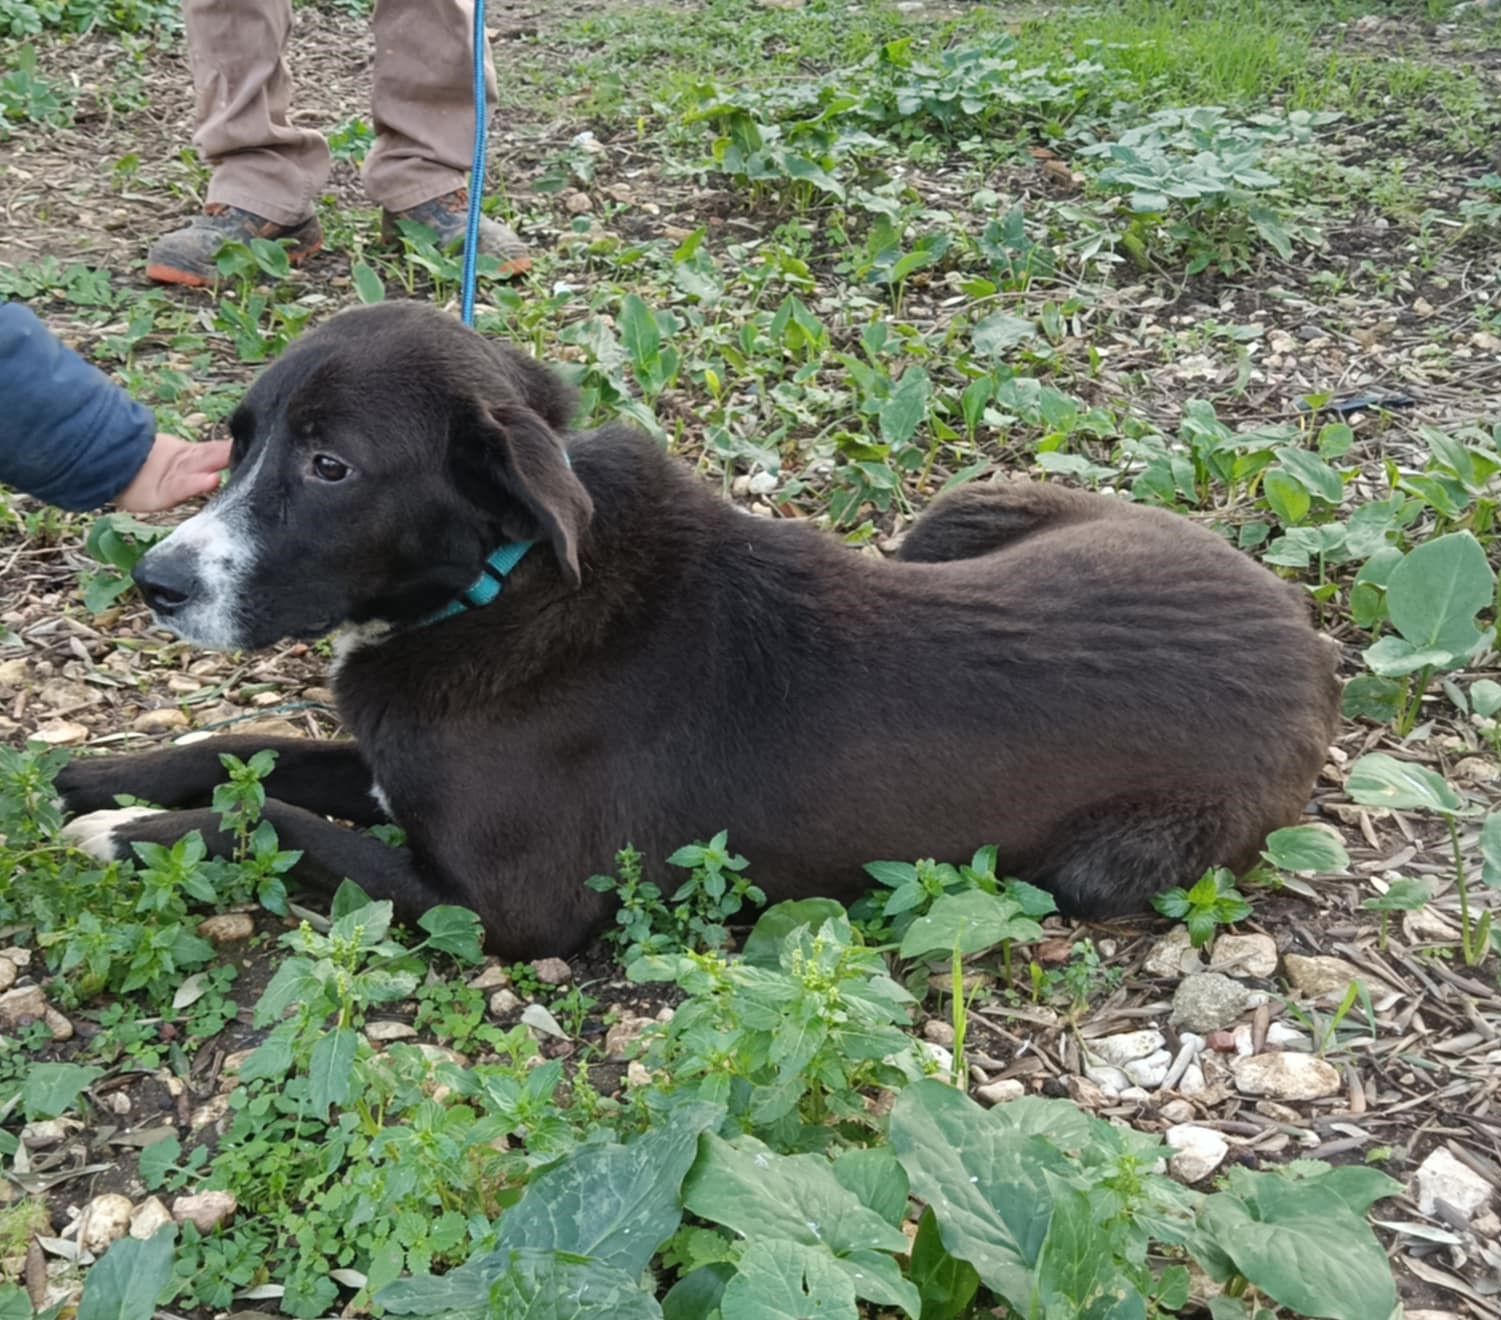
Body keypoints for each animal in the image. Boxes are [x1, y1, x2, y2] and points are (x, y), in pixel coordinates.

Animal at [57, 302, 1342, 958]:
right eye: (238, 439)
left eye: (330, 466)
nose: (155, 582)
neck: (508, 584)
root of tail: (1306, 640)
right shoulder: (385, 767)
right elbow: (239, 753)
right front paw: (96, 778)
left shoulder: (505, 914)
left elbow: (278, 821)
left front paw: (123, 833)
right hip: (961, 514)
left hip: (1100, 868)